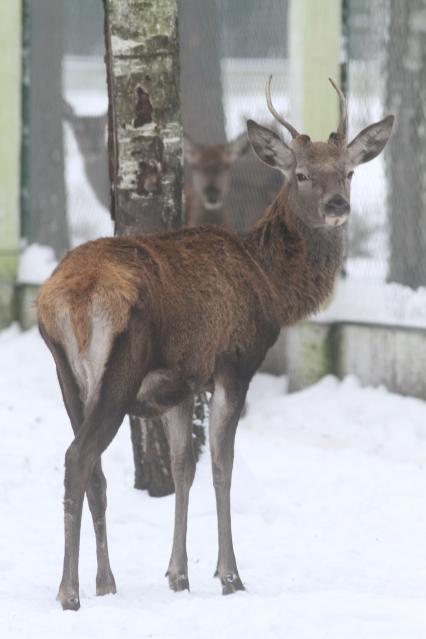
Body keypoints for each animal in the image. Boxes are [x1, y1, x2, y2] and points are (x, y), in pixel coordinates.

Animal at [36, 77, 392, 612]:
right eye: (302, 174)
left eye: (348, 172)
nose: (338, 206)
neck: (271, 284)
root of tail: (67, 298)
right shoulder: (234, 364)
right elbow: (222, 466)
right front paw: (230, 576)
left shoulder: (179, 385)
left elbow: (184, 468)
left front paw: (177, 574)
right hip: (120, 368)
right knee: (78, 457)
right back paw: (69, 591)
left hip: (67, 374)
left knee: (92, 467)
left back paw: (106, 582)